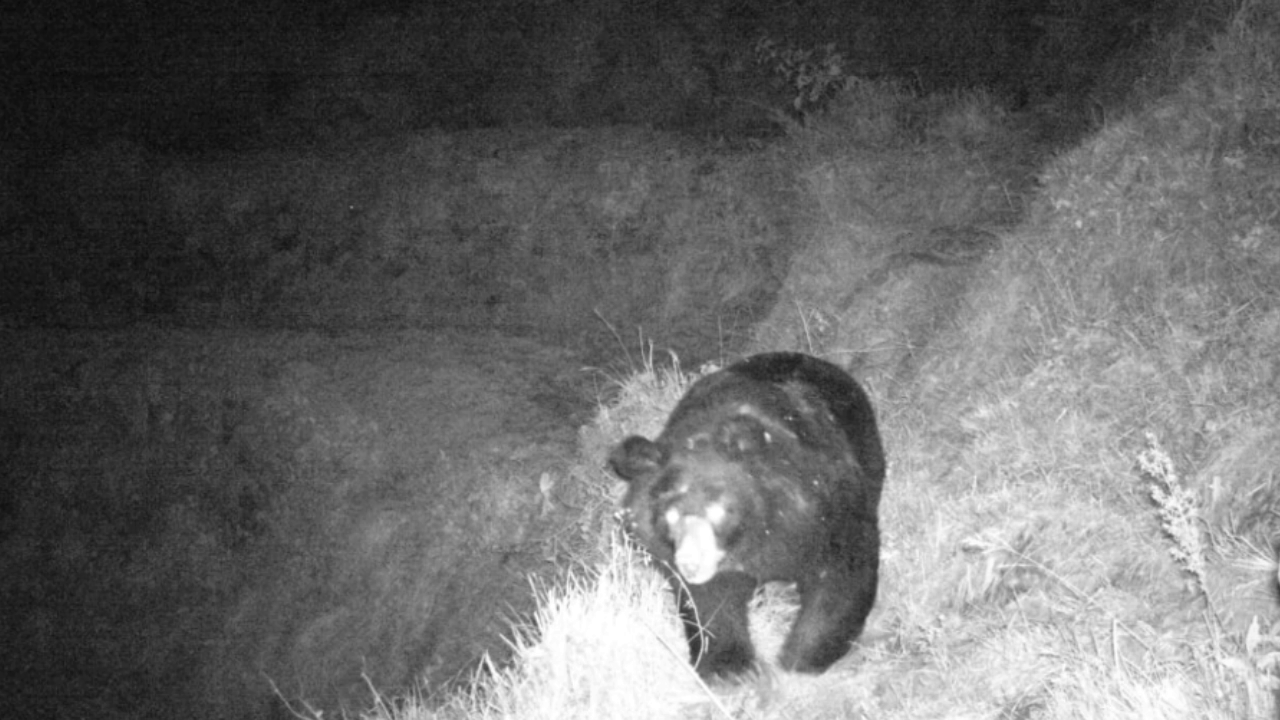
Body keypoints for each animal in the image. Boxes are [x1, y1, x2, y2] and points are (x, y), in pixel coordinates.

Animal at [608, 352, 885, 678]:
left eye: (719, 510)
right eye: (671, 516)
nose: (690, 563)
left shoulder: (823, 508)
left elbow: (843, 572)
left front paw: (799, 660)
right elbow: (711, 602)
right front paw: (728, 668)